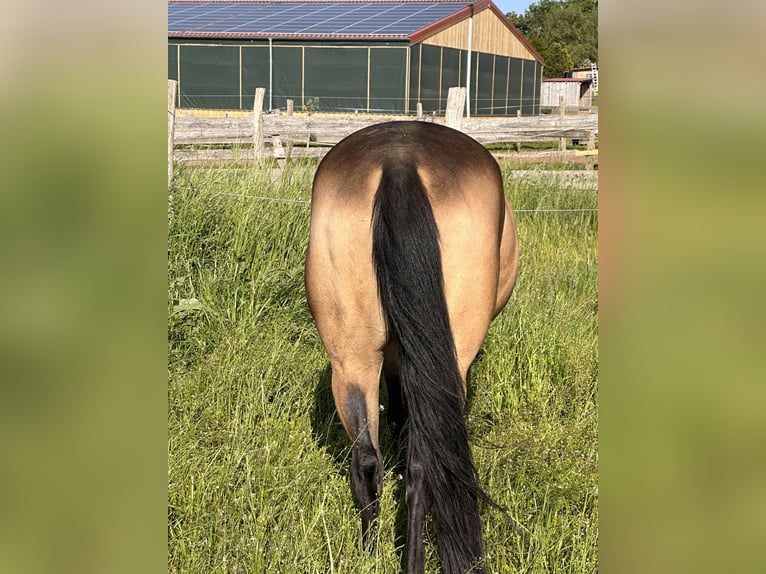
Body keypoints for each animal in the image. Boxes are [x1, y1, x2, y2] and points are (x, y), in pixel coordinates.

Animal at [304, 120, 519, 573]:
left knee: (366, 461)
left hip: (350, 362)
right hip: (450, 361)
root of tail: (399, 162)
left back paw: (369, 553)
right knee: (423, 471)